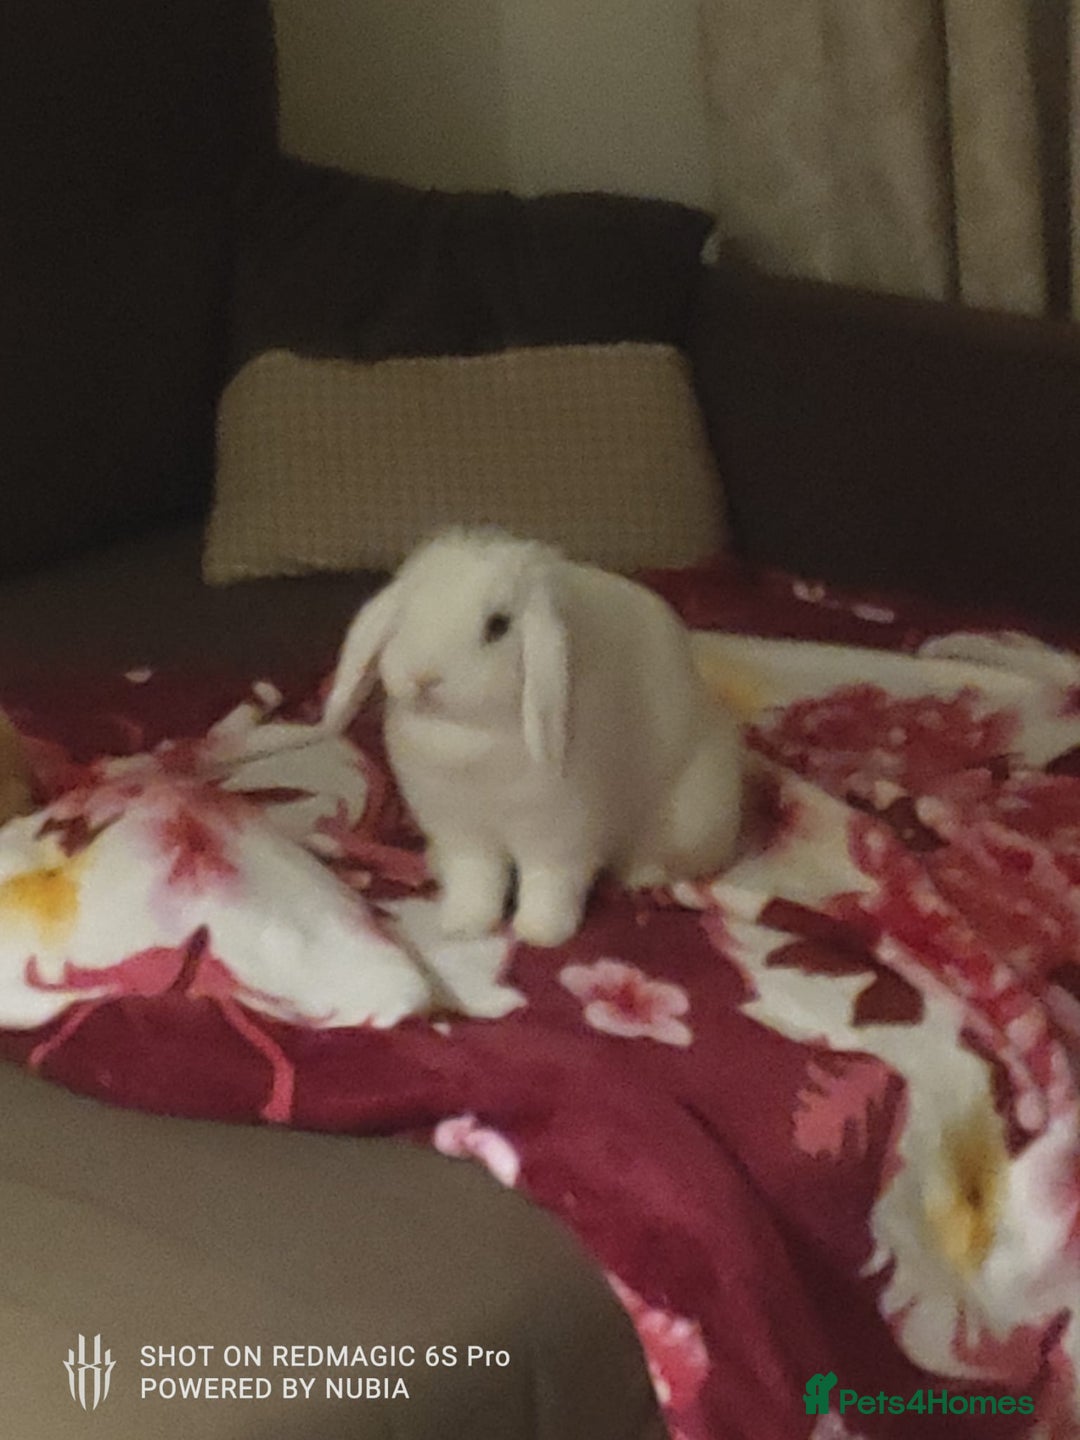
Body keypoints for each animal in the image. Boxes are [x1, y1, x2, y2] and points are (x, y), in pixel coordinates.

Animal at [319, 528, 744, 948]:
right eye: (407, 613)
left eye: (498, 626)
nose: (423, 676)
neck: (467, 735)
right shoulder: (463, 833)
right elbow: (476, 880)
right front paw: (463, 925)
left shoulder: (559, 836)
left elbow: (549, 884)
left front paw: (540, 933)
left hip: (691, 818)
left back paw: (642, 877)